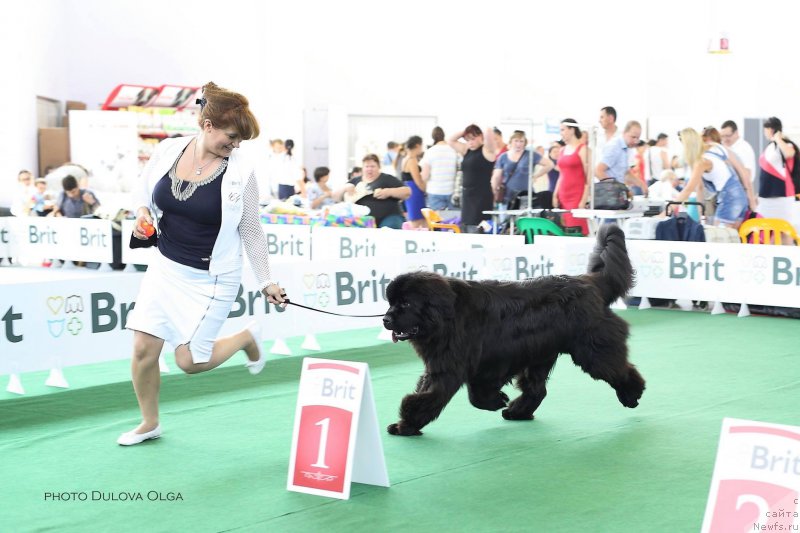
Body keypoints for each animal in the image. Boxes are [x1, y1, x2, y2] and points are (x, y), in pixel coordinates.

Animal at [382, 222, 644, 434]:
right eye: (391, 302)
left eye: (406, 304)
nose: (385, 320)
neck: (446, 317)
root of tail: (590, 281)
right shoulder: (453, 364)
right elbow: (439, 392)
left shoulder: (455, 367)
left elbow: (431, 396)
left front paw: (406, 425)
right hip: (541, 354)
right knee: (537, 389)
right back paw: (518, 411)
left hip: (592, 349)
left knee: (619, 370)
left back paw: (632, 395)